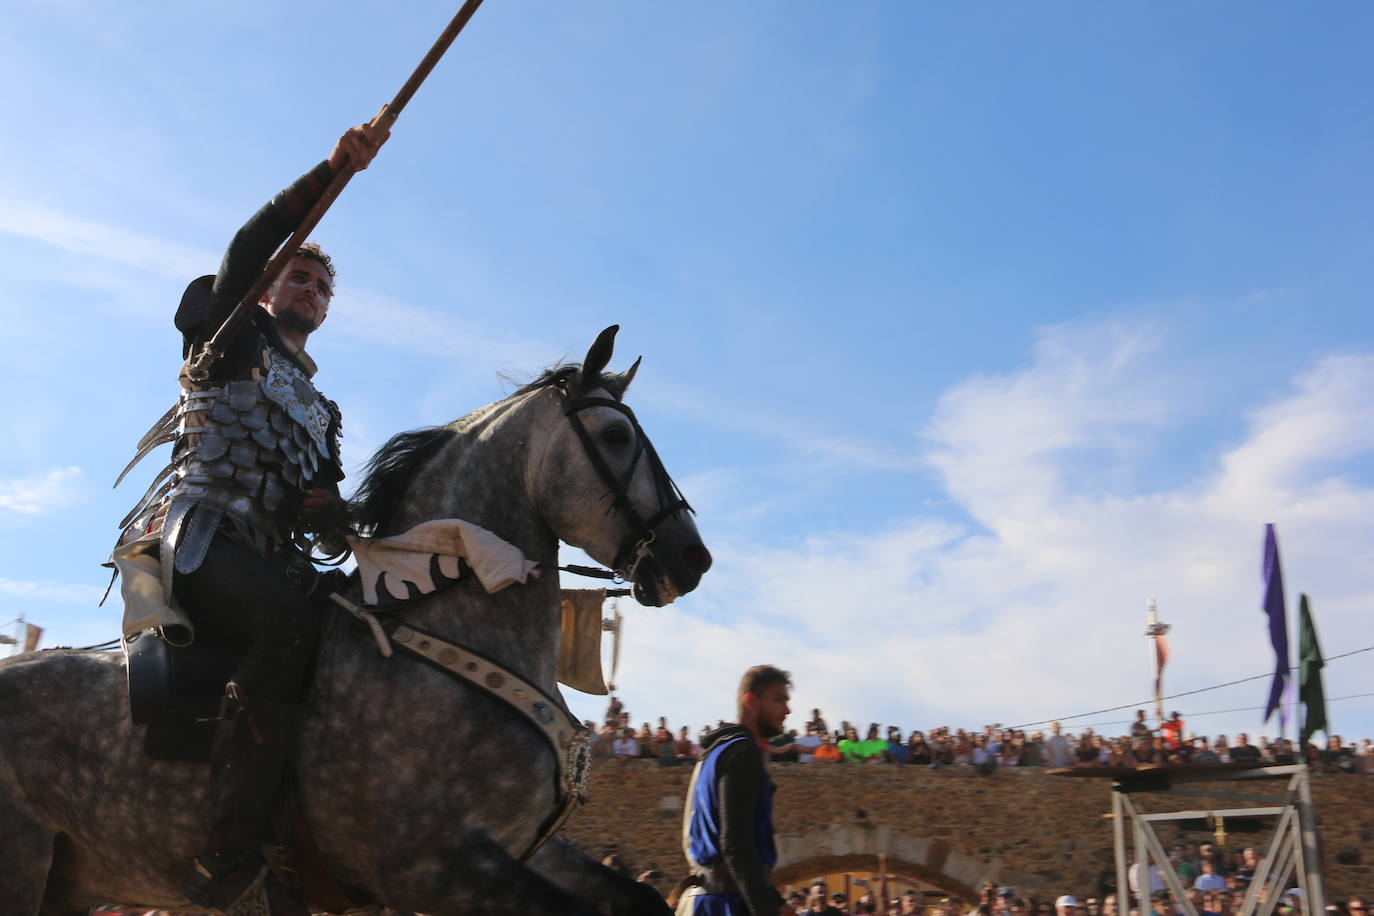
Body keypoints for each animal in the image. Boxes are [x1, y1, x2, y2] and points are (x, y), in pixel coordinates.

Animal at [0, 328, 708, 916]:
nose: (690, 558)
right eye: (615, 436)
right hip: (24, 869)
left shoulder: (522, 849)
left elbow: (639, 898)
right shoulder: (433, 867)